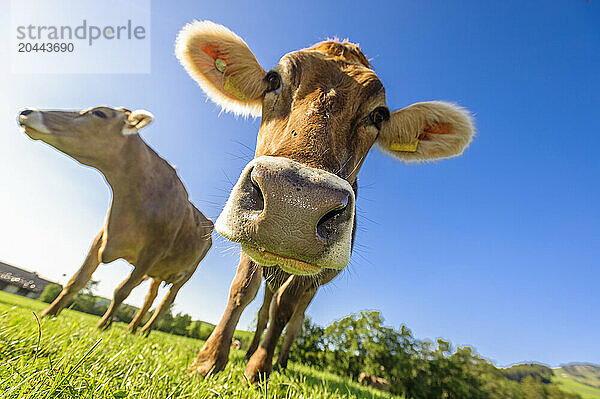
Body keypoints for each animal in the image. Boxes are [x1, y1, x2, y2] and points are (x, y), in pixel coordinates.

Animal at [17, 107, 213, 338]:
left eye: (99, 113)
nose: (27, 111)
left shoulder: (153, 251)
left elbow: (122, 290)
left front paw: (103, 325)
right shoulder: (102, 237)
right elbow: (77, 279)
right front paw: (49, 313)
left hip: (184, 275)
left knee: (165, 302)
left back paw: (145, 331)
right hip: (158, 273)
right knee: (150, 299)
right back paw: (132, 329)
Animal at [176, 21, 476, 382]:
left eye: (379, 115)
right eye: (273, 80)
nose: (294, 203)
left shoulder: (313, 276)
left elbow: (285, 308)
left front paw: (259, 368)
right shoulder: (250, 242)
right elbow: (242, 290)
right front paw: (208, 361)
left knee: (293, 320)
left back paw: (279, 362)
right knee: (263, 307)